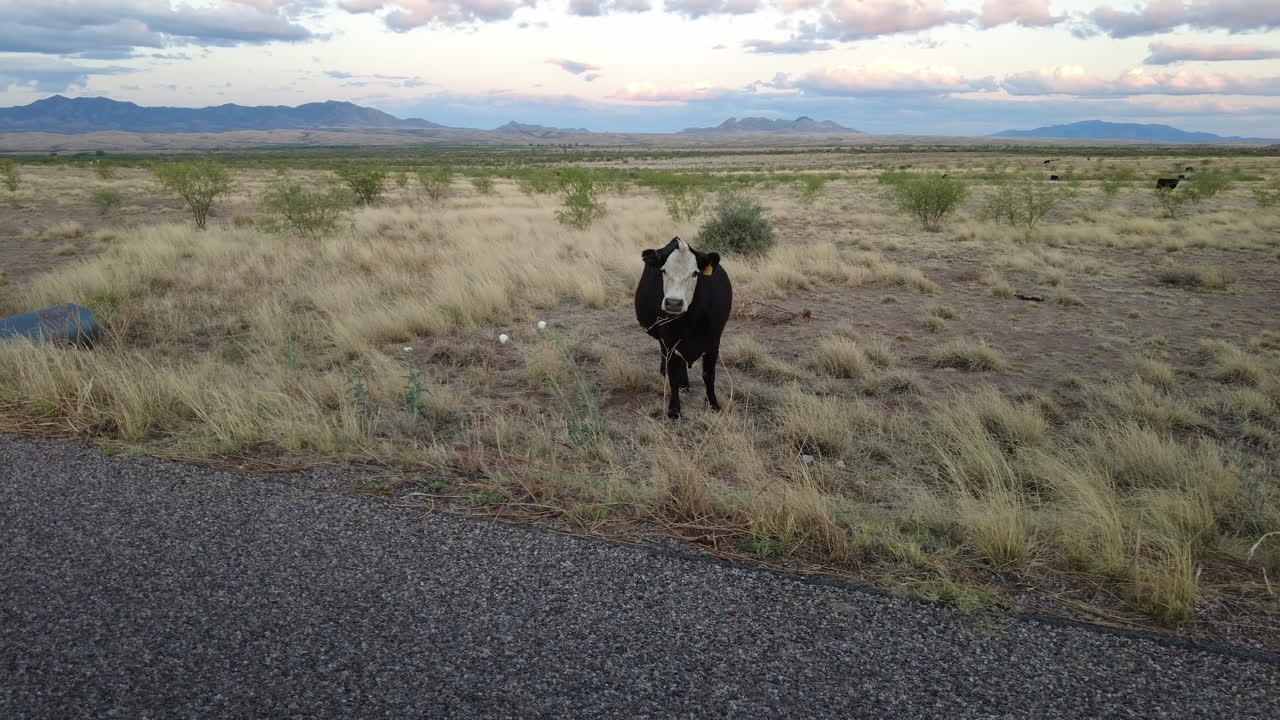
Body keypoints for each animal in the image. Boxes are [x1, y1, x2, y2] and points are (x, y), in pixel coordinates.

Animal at [634, 237, 732, 420]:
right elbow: (673, 376)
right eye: (664, 271)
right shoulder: (670, 342)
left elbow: (709, 375)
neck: (691, 322)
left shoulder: (714, 342)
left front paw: (713, 405)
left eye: (695, 273)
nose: (673, 303)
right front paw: (674, 411)